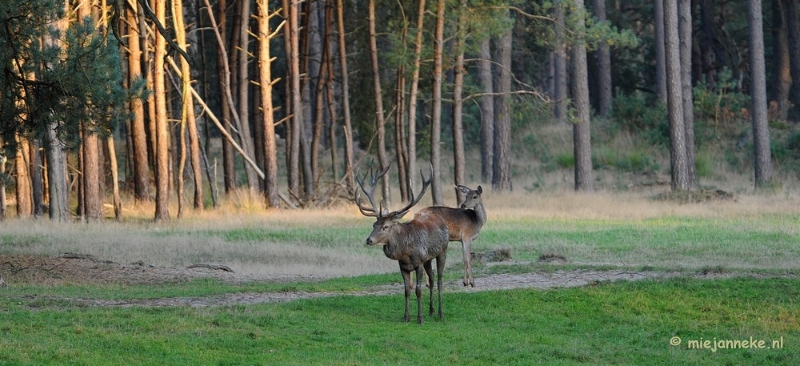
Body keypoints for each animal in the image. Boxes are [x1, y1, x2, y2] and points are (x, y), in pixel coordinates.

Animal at [356, 165, 450, 324]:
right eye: (374, 224)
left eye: (386, 226)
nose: (369, 240)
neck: (406, 253)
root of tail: (441, 219)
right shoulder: (403, 266)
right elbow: (406, 291)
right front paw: (406, 317)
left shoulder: (418, 263)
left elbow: (418, 290)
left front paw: (420, 318)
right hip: (428, 258)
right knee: (431, 278)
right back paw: (431, 310)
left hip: (442, 251)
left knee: (440, 280)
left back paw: (440, 313)